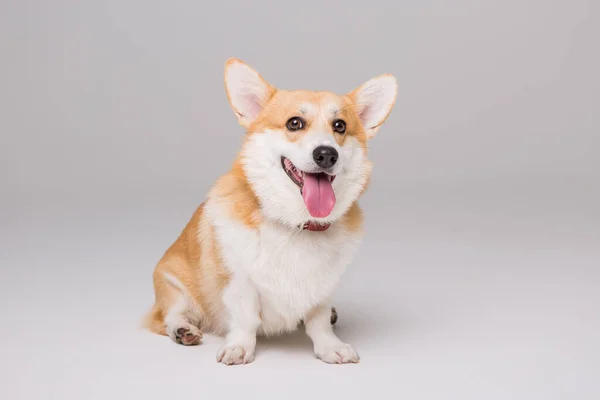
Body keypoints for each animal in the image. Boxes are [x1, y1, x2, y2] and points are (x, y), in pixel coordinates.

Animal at [144, 57, 398, 364]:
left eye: (340, 125)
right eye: (294, 123)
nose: (327, 154)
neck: (298, 223)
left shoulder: (323, 287)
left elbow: (319, 320)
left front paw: (330, 346)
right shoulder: (239, 282)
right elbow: (245, 319)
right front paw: (239, 347)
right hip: (171, 282)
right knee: (170, 314)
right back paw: (183, 330)